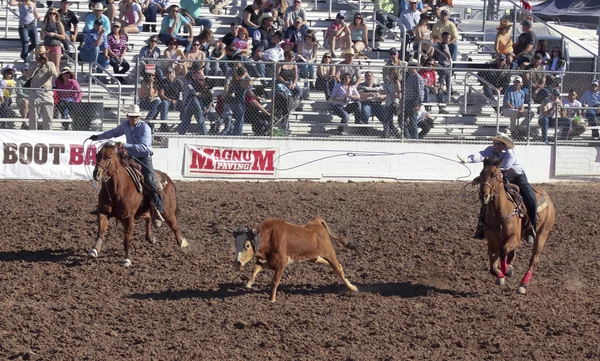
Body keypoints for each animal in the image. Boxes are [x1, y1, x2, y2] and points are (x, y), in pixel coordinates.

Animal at [474, 158, 556, 292]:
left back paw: (522, 284)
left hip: (542, 234)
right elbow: (492, 266)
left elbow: (502, 252)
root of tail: (547, 197)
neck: (499, 212)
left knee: (533, 260)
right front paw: (501, 275)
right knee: (512, 255)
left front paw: (507, 271)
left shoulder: (514, 238)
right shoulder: (492, 241)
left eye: (494, 175)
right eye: (481, 174)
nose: (483, 195)